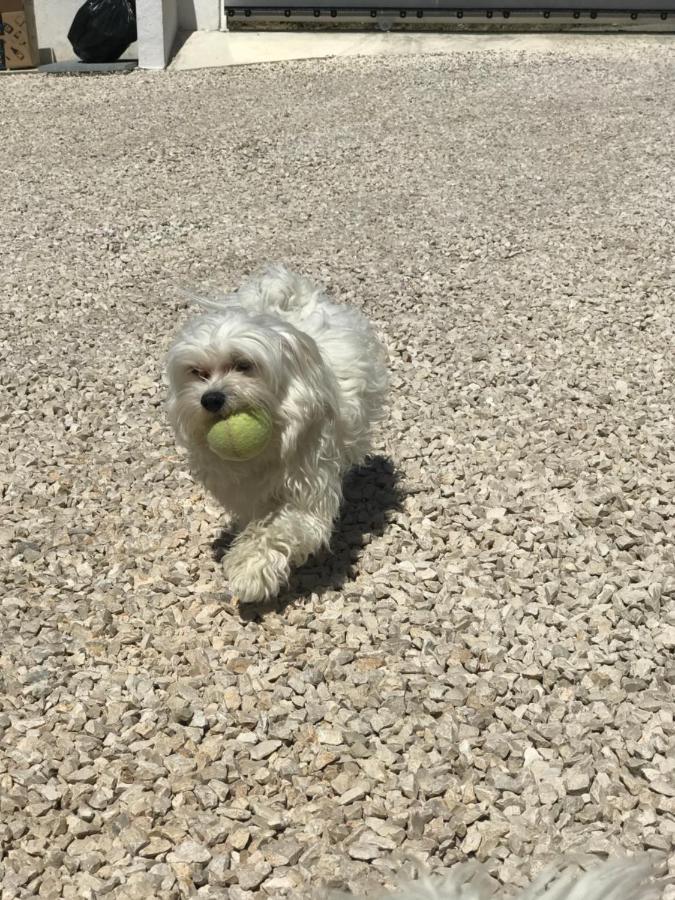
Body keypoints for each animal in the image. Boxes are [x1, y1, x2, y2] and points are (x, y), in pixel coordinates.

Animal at [167, 268, 388, 604]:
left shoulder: (308, 489)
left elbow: (280, 529)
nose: (211, 399)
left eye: (243, 365)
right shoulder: (247, 494)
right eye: (197, 372)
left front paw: (251, 571)